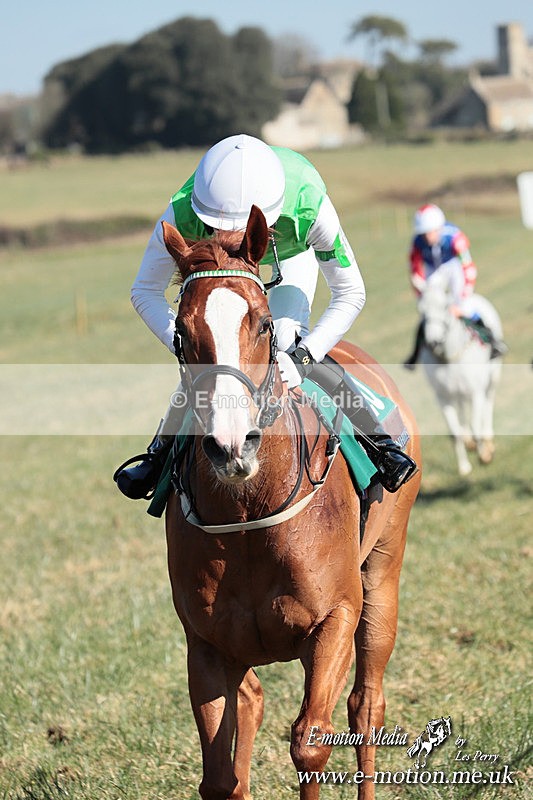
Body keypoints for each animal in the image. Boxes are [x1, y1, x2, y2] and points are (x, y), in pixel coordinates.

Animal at [162, 205, 421, 800]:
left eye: (262, 323)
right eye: (181, 333)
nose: (232, 445)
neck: (249, 514)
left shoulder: (335, 618)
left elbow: (310, 742)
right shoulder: (205, 645)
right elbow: (219, 776)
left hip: (384, 571)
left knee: (366, 704)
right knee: (252, 701)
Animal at [418, 281, 502, 476]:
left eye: (445, 307)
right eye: (422, 311)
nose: (433, 342)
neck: (449, 358)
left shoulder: (476, 392)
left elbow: (476, 426)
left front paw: (485, 455)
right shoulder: (442, 397)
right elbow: (455, 433)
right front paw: (464, 466)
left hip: (493, 376)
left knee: (489, 403)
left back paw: (487, 438)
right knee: (463, 409)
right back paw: (468, 441)